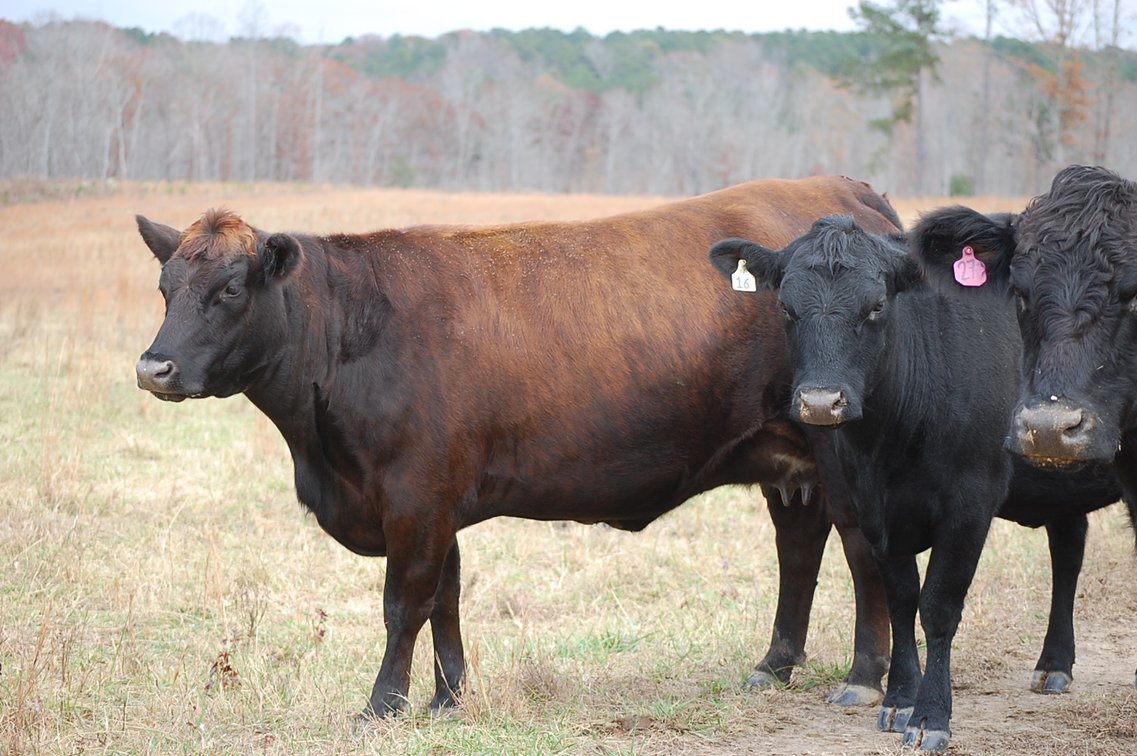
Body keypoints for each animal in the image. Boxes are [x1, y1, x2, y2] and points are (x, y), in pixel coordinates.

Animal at [133, 177, 901, 718]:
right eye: (166, 286)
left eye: (231, 288)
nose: (154, 367)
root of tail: (845, 193)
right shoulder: (435, 504)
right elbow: (445, 599)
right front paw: (447, 697)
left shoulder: (415, 498)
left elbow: (404, 603)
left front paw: (382, 704)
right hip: (787, 461)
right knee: (798, 549)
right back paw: (774, 664)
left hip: (835, 447)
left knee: (862, 551)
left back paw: (865, 677)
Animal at [708, 215, 1123, 752]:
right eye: (785, 306)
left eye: (876, 306)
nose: (821, 402)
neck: (893, 441)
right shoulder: (874, 510)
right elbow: (901, 600)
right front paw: (899, 700)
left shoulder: (970, 505)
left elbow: (938, 606)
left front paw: (931, 716)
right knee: (1068, 551)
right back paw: (1054, 664)